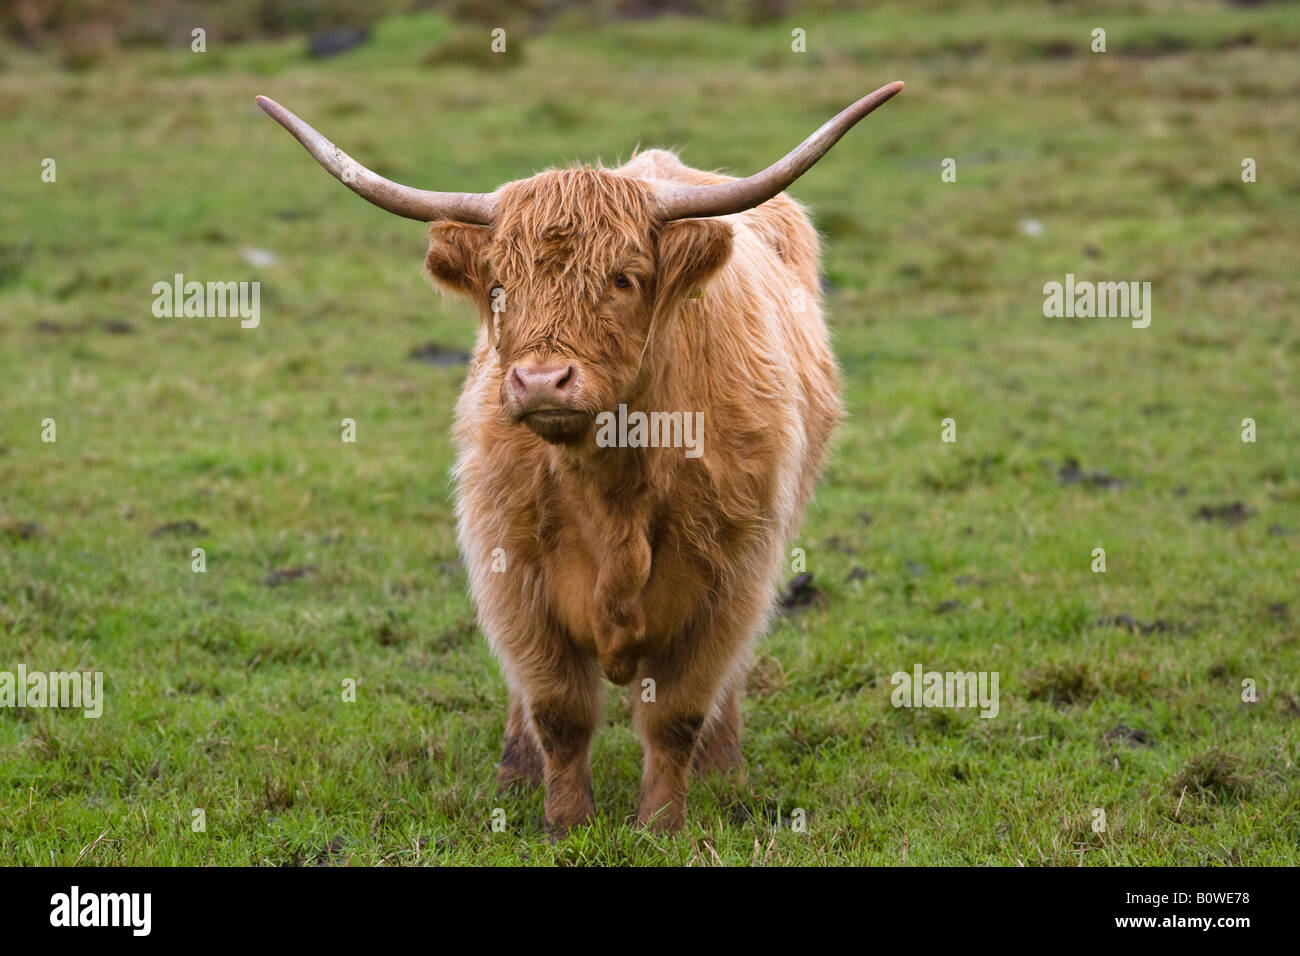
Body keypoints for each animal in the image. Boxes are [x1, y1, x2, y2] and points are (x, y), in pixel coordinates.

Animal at [256, 81, 904, 833]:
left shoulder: (731, 580)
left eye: (624, 278)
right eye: (499, 286)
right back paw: (515, 771)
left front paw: (662, 823)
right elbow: (558, 709)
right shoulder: (513, 574)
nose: (541, 382)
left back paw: (725, 769)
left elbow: (678, 712)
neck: (614, 483)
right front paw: (564, 821)